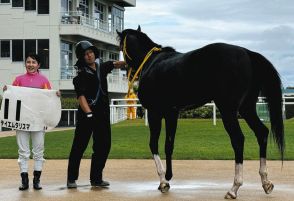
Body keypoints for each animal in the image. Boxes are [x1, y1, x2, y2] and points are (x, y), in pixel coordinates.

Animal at [116, 25, 284, 199]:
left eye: (120, 45)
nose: (125, 69)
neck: (152, 61)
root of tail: (247, 53)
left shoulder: (155, 112)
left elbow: (153, 144)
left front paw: (163, 181)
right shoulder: (171, 113)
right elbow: (169, 144)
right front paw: (168, 176)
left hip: (228, 110)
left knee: (238, 139)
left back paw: (234, 188)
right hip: (247, 108)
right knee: (262, 132)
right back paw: (266, 182)